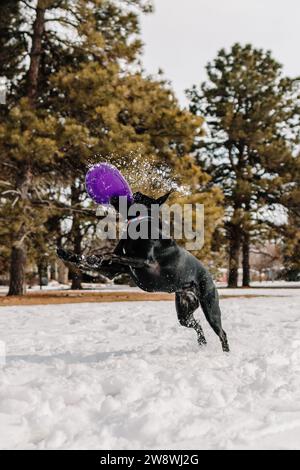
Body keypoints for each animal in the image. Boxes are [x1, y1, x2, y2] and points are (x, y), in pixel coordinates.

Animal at [56, 192, 230, 352]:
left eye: (137, 196)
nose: (115, 195)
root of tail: (210, 277)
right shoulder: (114, 271)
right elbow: (92, 260)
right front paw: (68, 254)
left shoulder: (144, 261)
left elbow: (113, 255)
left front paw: (97, 256)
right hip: (184, 314)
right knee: (198, 325)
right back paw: (202, 343)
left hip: (210, 309)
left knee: (222, 333)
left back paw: (225, 353)